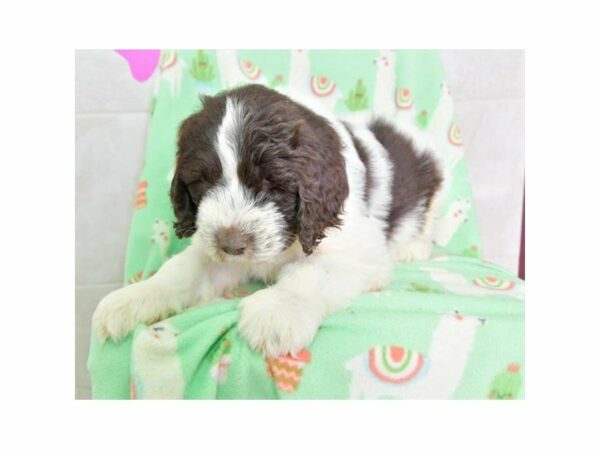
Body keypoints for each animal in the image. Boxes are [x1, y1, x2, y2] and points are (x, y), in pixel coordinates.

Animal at [92, 84, 440, 356]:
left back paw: (412, 248)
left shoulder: (358, 251)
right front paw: (132, 299)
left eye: (273, 184)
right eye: (203, 182)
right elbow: (180, 270)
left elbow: (311, 273)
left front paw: (277, 311)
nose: (231, 244)